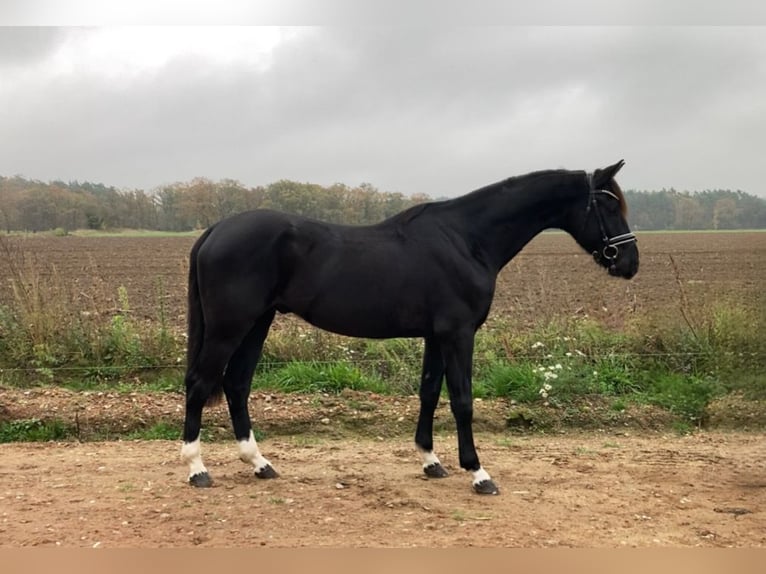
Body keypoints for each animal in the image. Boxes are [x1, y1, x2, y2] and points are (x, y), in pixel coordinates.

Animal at [183, 161, 640, 496]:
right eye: (608, 207)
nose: (629, 263)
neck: (466, 239)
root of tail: (215, 230)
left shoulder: (436, 336)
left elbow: (429, 393)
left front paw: (431, 461)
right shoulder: (458, 333)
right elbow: (462, 400)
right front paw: (478, 473)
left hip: (257, 323)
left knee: (236, 384)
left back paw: (259, 463)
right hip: (230, 327)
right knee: (200, 383)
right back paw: (196, 468)